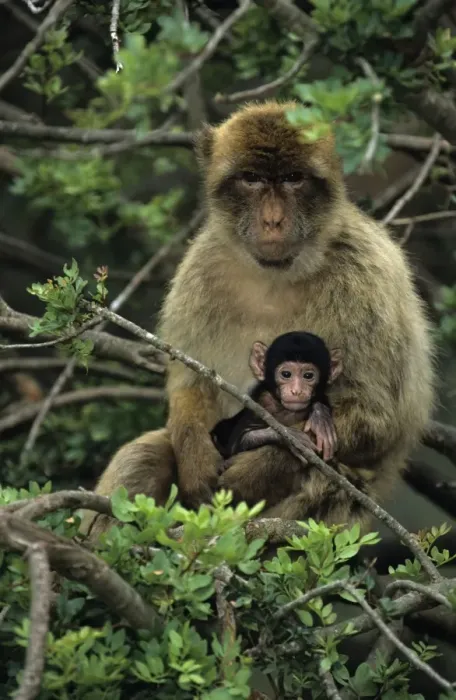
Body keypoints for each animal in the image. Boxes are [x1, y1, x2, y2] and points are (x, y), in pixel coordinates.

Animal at [211, 331, 343, 463]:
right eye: (286, 374)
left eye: (308, 375)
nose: (296, 391)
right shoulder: (261, 402)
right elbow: (235, 445)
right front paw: (291, 437)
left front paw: (320, 417)